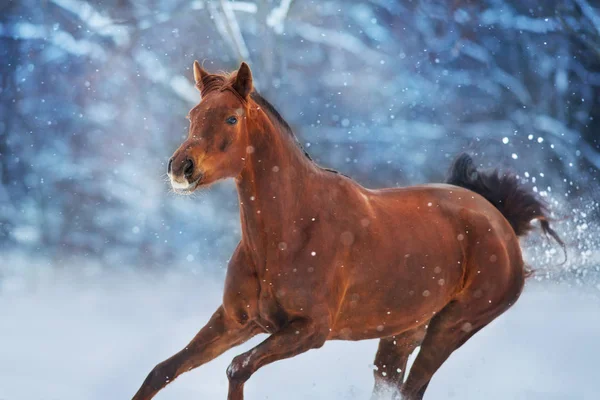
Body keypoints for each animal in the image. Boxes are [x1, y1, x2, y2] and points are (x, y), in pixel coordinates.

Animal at [131, 60, 564, 400]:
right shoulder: (237, 320)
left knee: (413, 389)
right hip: (402, 333)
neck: (287, 233)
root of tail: (499, 220)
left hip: (450, 328)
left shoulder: (310, 331)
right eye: (192, 116)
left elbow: (237, 367)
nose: (180, 168)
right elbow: (162, 371)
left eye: (231, 118)